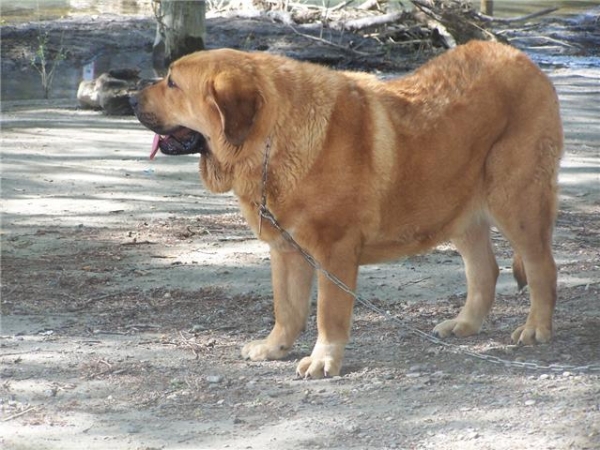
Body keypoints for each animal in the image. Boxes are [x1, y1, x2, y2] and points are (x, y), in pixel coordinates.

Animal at [130, 42, 564, 378]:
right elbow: (286, 308)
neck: (271, 139)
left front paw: (323, 360)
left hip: (516, 199)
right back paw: (465, 324)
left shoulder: (334, 252)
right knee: (484, 269)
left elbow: (329, 313)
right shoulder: (286, 250)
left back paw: (536, 328)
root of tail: (521, 58)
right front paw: (274, 348)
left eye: (172, 82)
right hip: (458, 206)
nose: (131, 97)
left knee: (541, 267)